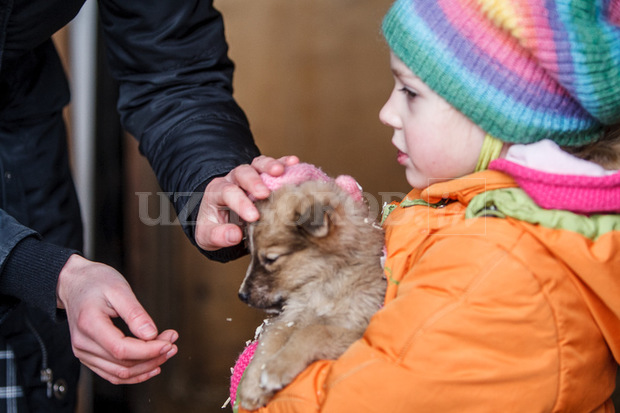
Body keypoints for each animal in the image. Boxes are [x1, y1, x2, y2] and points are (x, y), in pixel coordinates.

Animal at [236, 179, 386, 408]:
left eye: (271, 258)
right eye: (251, 254)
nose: (242, 295)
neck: (318, 284)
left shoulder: (355, 329)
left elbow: (313, 332)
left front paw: (275, 369)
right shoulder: (289, 318)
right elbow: (270, 341)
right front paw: (252, 384)